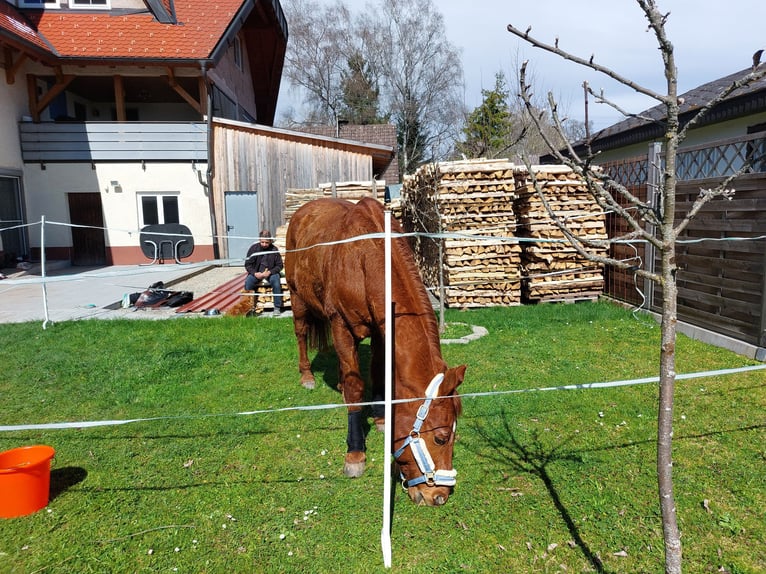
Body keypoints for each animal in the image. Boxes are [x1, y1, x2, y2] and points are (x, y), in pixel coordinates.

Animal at [284, 199, 468, 508]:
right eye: (441, 438)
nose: (439, 496)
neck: (366, 259)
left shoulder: (382, 329)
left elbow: (378, 374)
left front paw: (382, 418)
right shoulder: (341, 325)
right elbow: (357, 386)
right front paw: (355, 454)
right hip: (298, 299)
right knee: (301, 333)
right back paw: (307, 376)